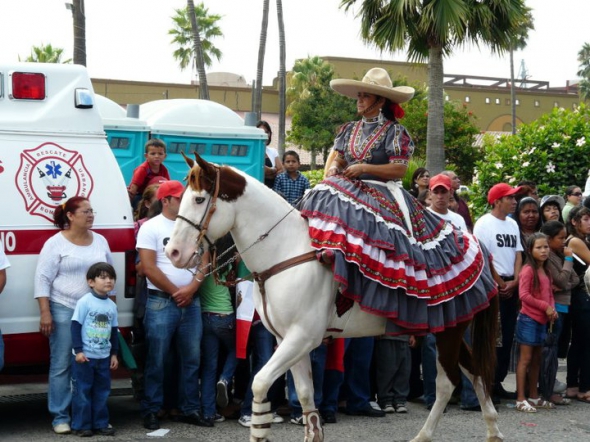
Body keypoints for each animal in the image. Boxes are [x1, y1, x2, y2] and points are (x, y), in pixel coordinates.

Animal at [166, 155, 504, 442]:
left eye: (199, 199)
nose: (173, 253)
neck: (286, 251)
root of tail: (476, 242)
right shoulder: (288, 339)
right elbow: (305, 394)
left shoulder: (302, 337)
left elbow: (260, 382)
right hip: (450, 326)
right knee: (474, 370)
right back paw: (493, 431)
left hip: (449, 330)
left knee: (448, 383)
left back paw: (425, 436)